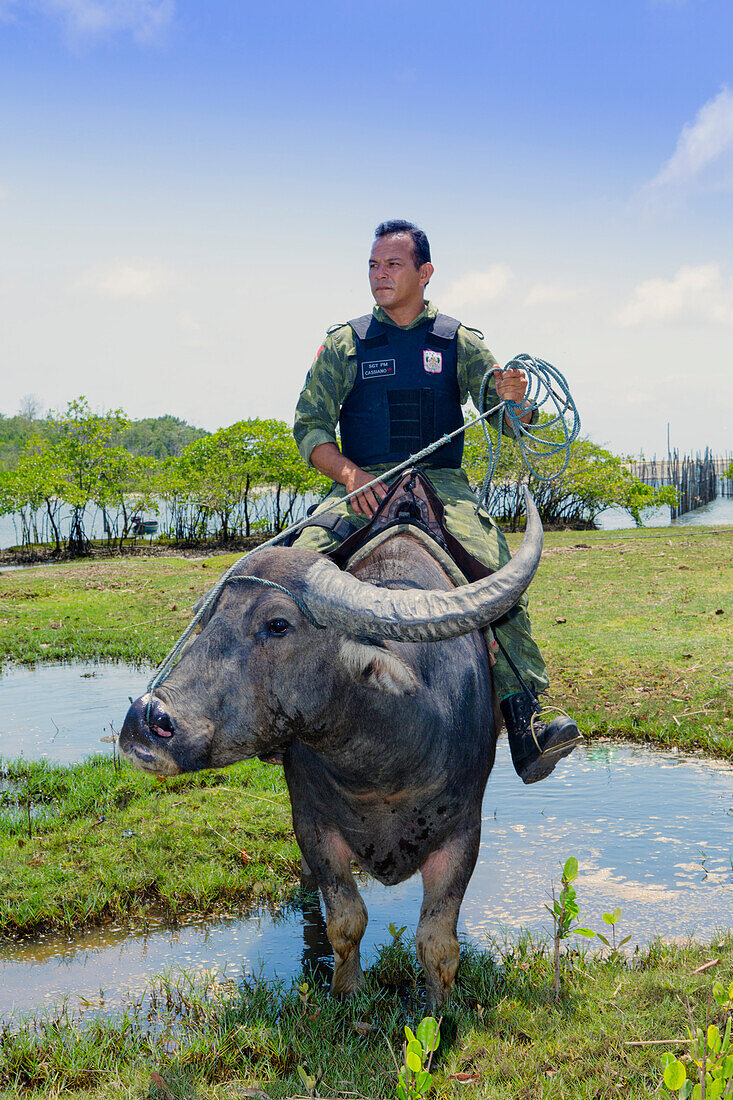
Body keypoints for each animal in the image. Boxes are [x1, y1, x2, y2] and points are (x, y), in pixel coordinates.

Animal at [119, 495, 541, 1007]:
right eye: (205, 618)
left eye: (278, 624)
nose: (145, 720)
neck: (382, 772)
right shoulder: (313, 825)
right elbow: (346, 921)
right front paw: (348, 993)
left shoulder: (464, 831)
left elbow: (437, 941)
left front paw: (441, 1011)